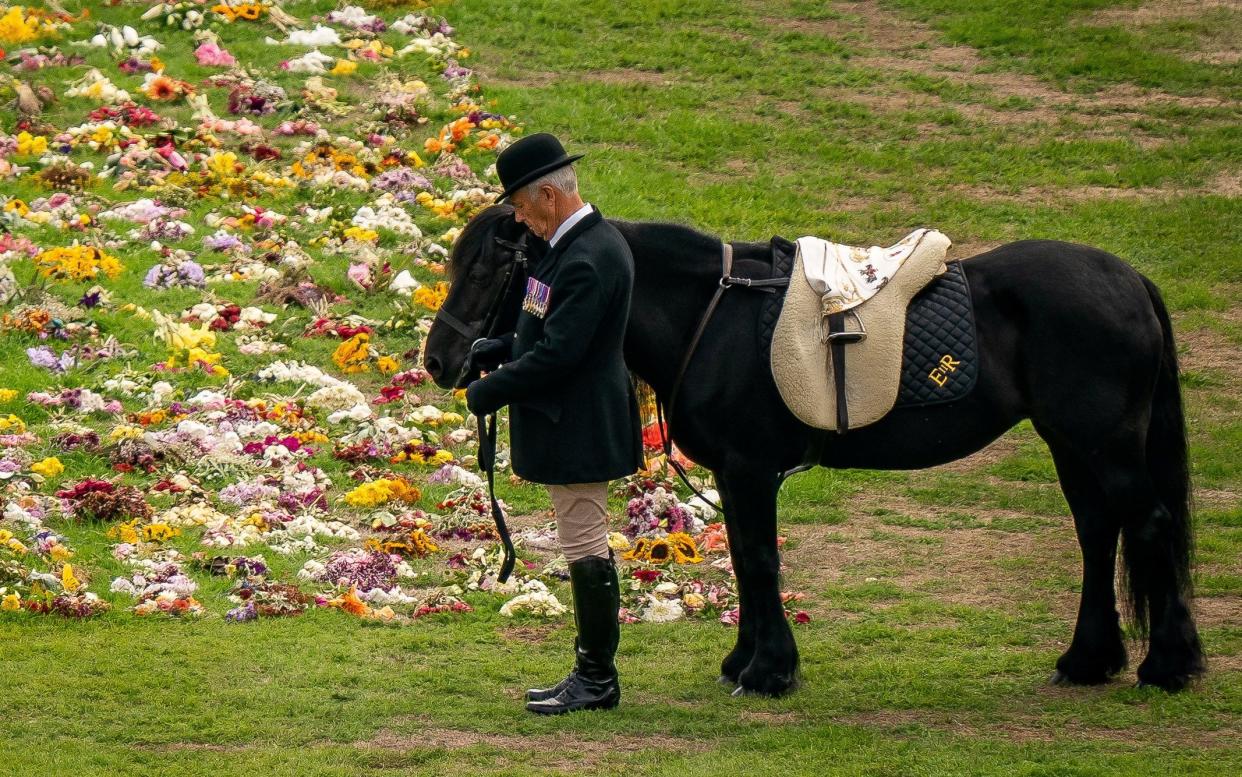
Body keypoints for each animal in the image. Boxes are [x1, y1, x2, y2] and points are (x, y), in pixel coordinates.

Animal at [424, 204, 1202, 690]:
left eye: (487, 271)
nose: (440, 361)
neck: (714, 314)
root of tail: (1130, 280)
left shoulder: (749, 468)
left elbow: (760, 561)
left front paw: (769, 671)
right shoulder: (735, 473)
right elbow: (746, 561)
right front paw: (745, 661)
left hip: (1104, 444)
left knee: (1149, 525)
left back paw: (1169, 664)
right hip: (1072, 443)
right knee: (1099, 533)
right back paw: (1089, 659)